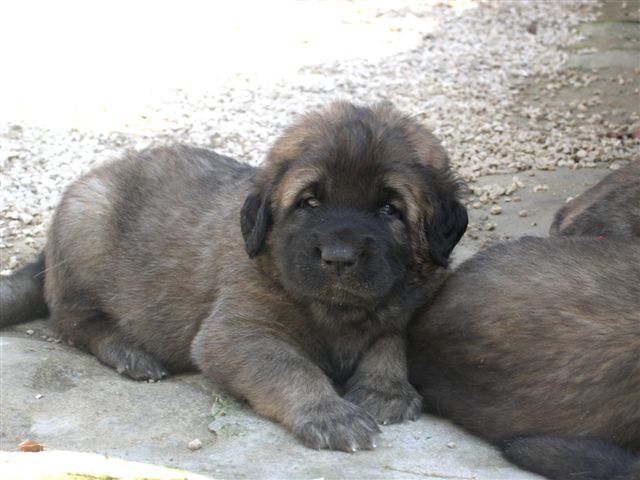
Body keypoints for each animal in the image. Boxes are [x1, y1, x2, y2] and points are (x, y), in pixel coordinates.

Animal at [0, 102, 468, 451]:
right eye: (309, 202)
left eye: (390, 209)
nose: (339, 258)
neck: (335, 312)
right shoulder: (236, 333)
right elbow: (291, 368)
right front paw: (329, 414)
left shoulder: (405, 309)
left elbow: (391, 341)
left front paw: (384, 389)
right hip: (87, 224)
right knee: (74, 321)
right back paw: (129, 350)